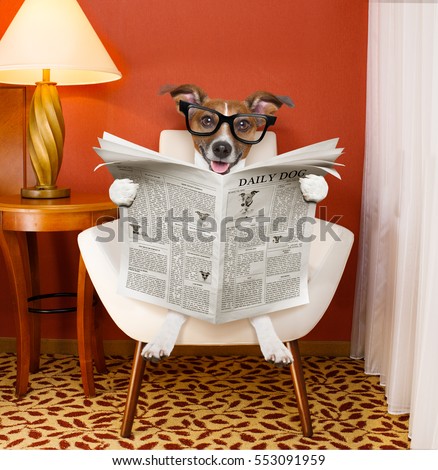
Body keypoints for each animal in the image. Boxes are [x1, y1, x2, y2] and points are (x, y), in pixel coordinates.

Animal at [108, 82, 328, 366]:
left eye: (243, 124)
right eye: (207, 120)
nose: (222, 148)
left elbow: (261, 312)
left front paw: (275, 345)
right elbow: (175, 310)